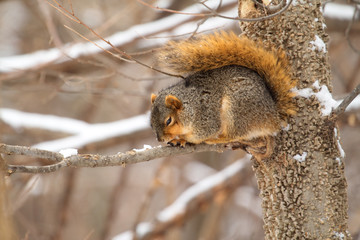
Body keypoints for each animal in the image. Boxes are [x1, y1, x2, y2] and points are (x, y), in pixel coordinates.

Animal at [148, 31, 296, 159]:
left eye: (169, 120)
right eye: (151, 123)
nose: (160, 139)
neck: (190, 105)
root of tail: (273, 117)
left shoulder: (206, 116)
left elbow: (203, 133)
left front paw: (181, 139)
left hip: (236, 110)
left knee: (234, 134)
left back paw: (216, 139)